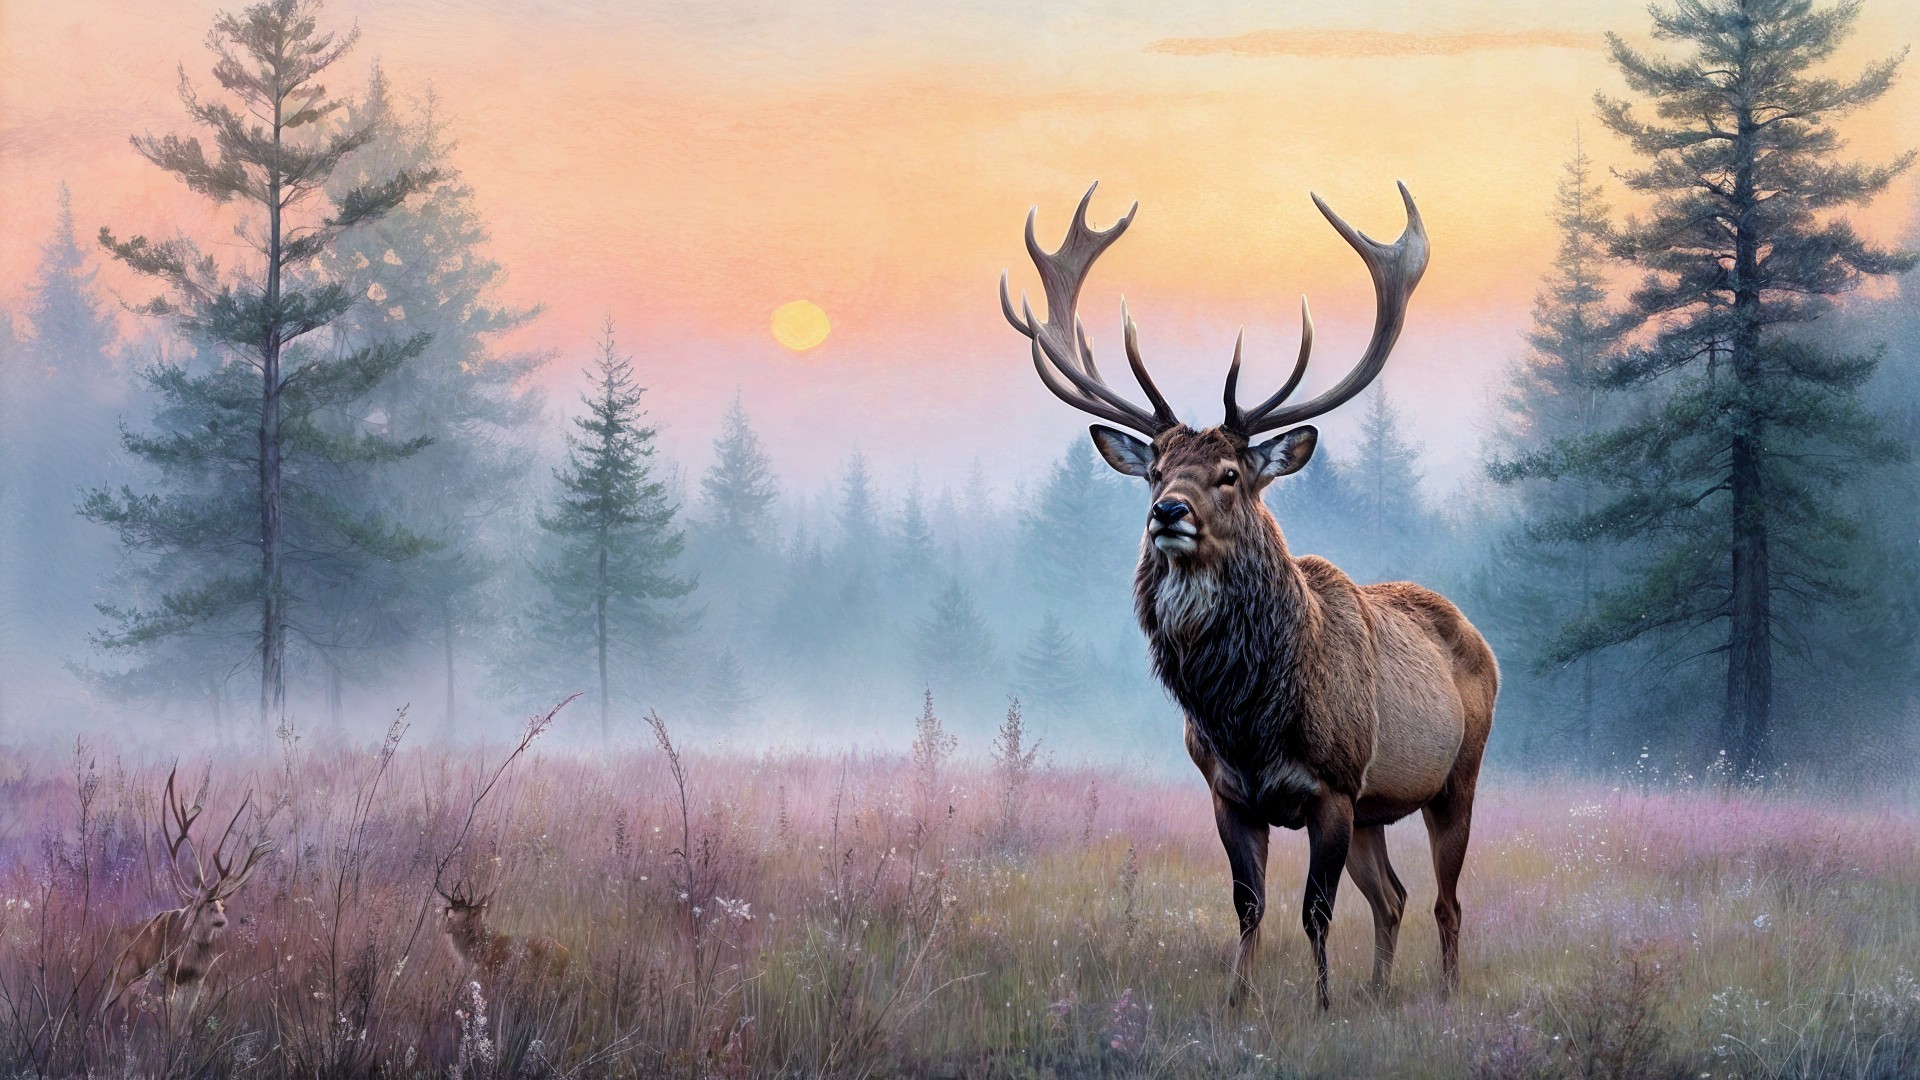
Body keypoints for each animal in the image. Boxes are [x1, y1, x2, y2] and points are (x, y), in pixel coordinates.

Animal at [106, 769, 272, 1018]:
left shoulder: (197, 982)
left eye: (223, 906)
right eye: (208, 906)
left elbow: (181, 1022)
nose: (223, 921)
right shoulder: (169, 975)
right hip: (123, 974)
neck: (191, 961)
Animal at [1001, 182, 1496, 1010]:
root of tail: (1479, 637)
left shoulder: (1332, 786)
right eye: (1154, 468)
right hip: (1375, 811)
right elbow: (1250, 903)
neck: (1247, 716)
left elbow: (1315, 910)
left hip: (1456, 777)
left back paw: (1447, 992)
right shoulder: (1230, 793)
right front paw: (1241, 1001)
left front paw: (1321, 1006)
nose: (1168, 512)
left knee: (1445, 900)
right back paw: (1377, 990)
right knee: (1392, 896)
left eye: (1230, 474)